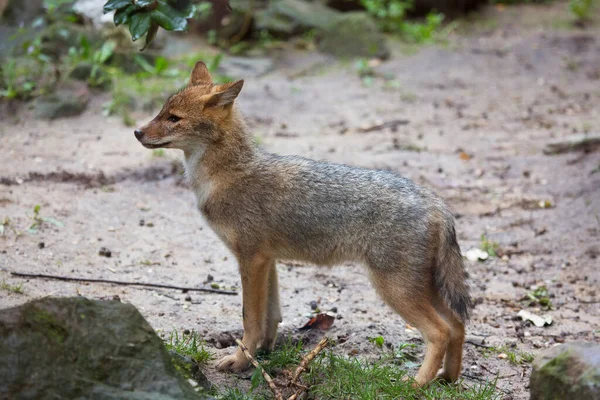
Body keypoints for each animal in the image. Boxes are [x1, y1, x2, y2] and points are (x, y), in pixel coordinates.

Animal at [134, 60, 472, 388]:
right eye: (162, 111)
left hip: (395, 290)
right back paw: (447, 378)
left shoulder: (250, 259)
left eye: (174, 118)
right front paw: (263, 353)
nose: (137, 132)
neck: (225, 175)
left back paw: (416, 384)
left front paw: (240, 361)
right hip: (423, 289)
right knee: (458, 325)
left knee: (441, 331)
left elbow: (250, 319)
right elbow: (270, 317)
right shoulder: (266, 260)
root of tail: (436, 202)